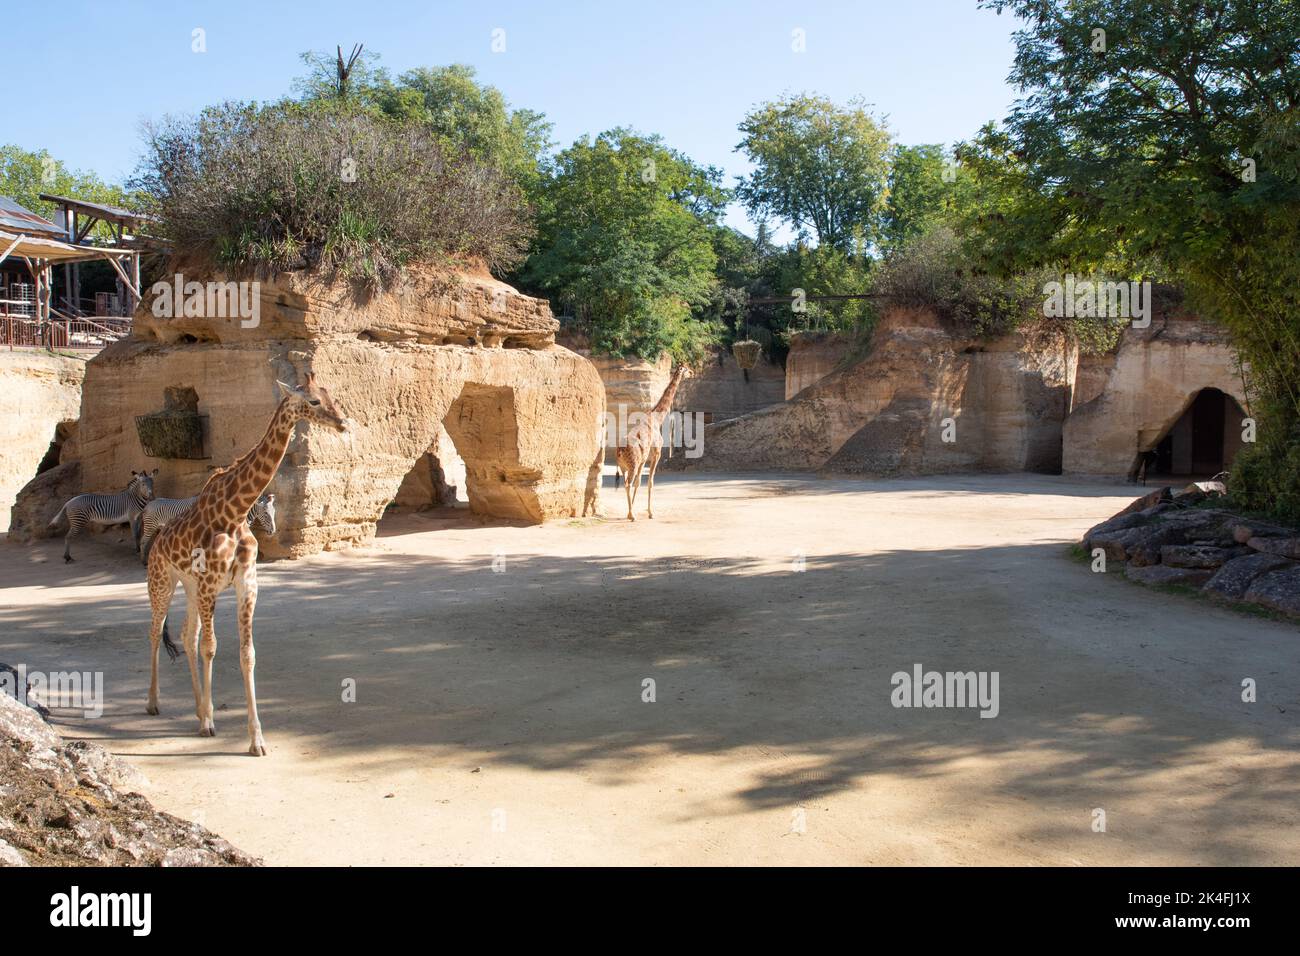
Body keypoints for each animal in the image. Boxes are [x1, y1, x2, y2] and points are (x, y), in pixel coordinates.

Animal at [135, 492, 276, 564]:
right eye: (266, 514)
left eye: (274, 512)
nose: (273, 531)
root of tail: (148, 504)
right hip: (151, 526)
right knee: (143, 541)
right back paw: (143, 561)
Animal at [615, 364, 691, 521]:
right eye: (686, 369)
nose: (692, 373)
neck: (657, 418)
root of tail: (620, 450)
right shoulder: (656, 454)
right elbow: (650, 482)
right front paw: (650, 513)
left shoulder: (644, 460)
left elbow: (639, 482)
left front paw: (633, 509)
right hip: (632, 464)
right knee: (628, 484)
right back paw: (632, 516)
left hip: (624, 467)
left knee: (627, 483)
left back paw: (630, 513)